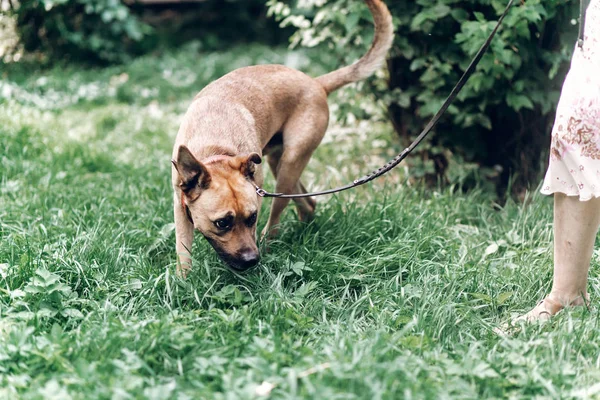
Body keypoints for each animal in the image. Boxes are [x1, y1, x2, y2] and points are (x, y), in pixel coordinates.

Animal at [170, 0, 394, 274]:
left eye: (252, 217)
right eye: (222, 223)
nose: (251, 260)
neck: (216, 148)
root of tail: (316, 83)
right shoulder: (180, 209)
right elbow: (183, 252)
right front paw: (183, 280)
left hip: (289, 165)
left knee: (277, 219)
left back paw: (273, 244)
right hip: (280, 164)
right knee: (308, 204)